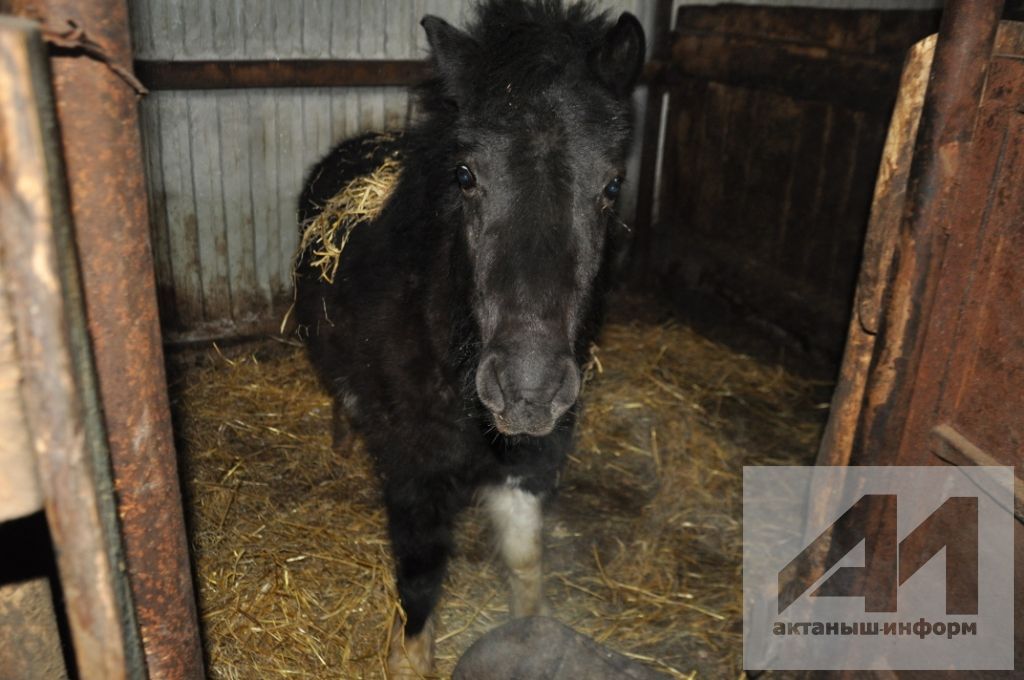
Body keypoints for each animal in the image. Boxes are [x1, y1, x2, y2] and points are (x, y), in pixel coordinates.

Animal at [292, 2, 638, 675]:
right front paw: (409, 659)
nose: (527, 391)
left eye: (612, 185)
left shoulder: (529, 466)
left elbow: (527, 566)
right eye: (464, 173)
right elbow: (420, 578)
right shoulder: (415, 473)